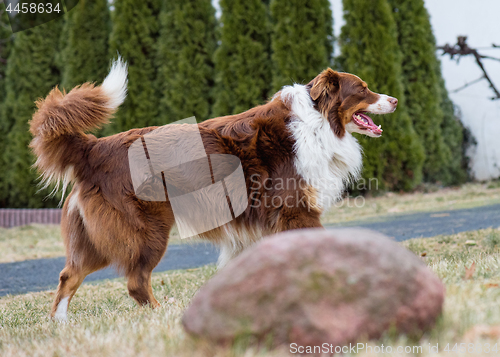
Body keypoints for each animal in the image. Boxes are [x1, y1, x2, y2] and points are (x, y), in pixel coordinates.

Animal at [30, 59, 398, 320]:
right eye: (363, 89)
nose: (394, 100)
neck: (320, 123)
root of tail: (94, 147)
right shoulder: (295, 211)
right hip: (147, 231)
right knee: (135, 282)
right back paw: (164, 316)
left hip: (96, 238)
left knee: (68, 275)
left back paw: (60, 324)